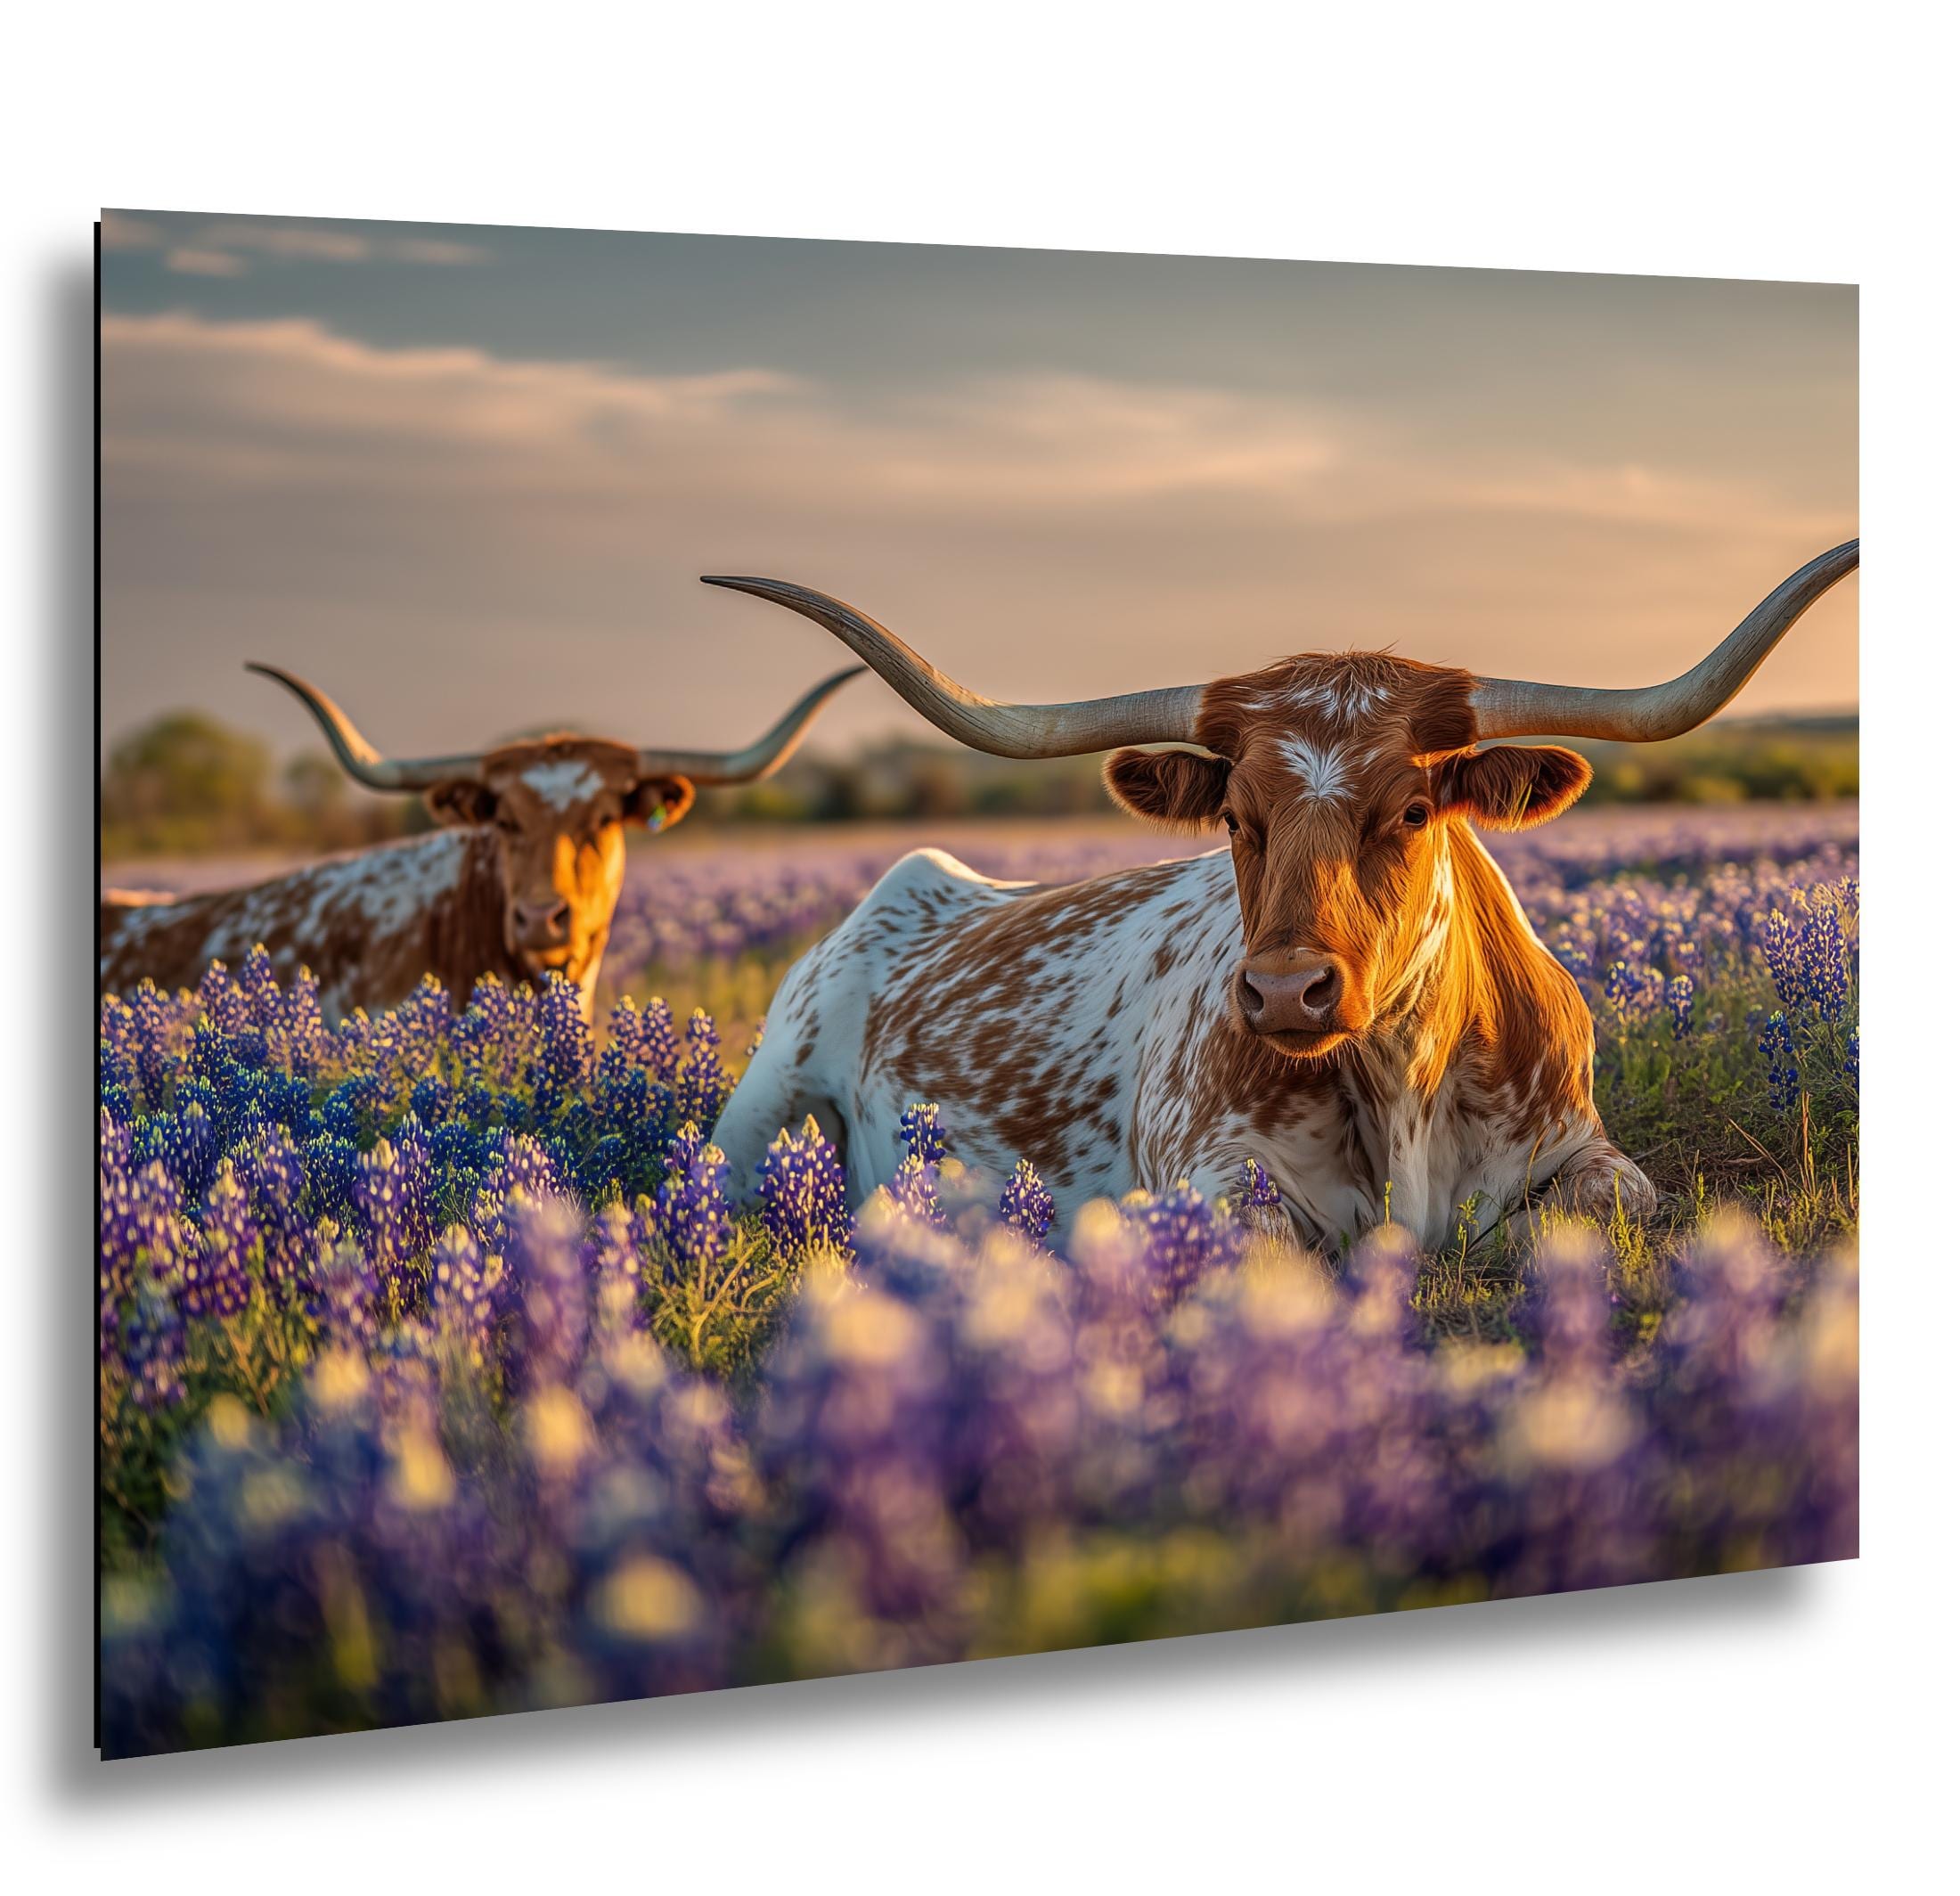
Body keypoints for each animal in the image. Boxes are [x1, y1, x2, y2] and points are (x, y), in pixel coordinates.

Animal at [704, 543, 1857, 1251]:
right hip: (763, 1090)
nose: (1287, 992)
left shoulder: (1588, 1151)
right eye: (1232, 814)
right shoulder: (1207, 1178)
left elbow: (1597, 1208)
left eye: (1412, 809)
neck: (1402, 1089)